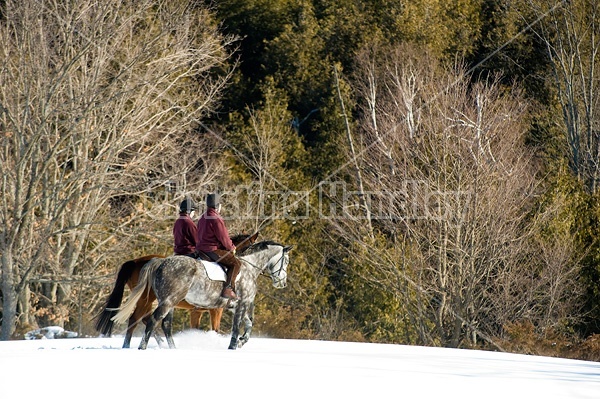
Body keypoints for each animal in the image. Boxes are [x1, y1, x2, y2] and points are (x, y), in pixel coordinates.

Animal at [94, 233, 255, 348]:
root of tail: (135, 262)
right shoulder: (216, 309)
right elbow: (214, 329)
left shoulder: (199, 311)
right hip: (151, 300)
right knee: (141, 319)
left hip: (154, 300)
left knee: (146, 320)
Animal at [113, 241, 292, 350]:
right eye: (286, 261)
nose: (282, 283)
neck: (249, 268)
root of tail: (160, 261)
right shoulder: (240, 304)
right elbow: (235, 328)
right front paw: (233, 346)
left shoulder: (234, 306)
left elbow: (248, 325)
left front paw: (242, 342)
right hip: (166, 301)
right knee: (150, 321)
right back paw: (141, 347)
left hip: (168, 302)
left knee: (163, 324)